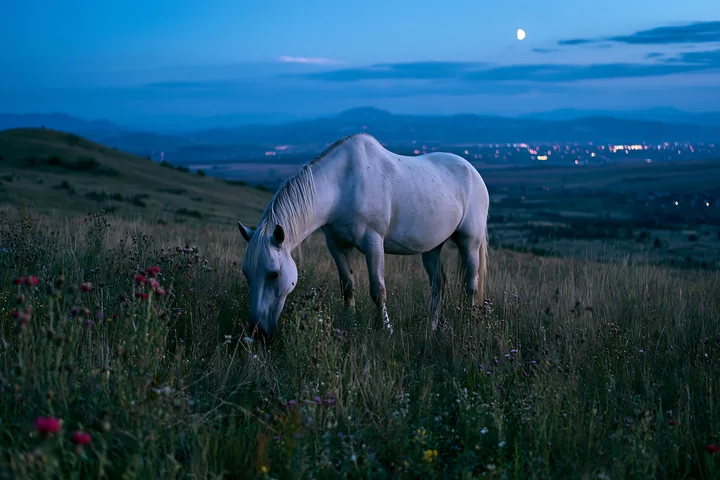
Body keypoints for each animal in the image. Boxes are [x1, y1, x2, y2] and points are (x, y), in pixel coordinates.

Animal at [238, 133, 489, 337]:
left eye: (274, 274)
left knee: (471, 284)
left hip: (469, 241)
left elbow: (378, 290)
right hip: (432, 248)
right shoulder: (336, 244)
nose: (256, 331)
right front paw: (351, 323)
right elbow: (348, 286)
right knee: (438, 284)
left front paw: (386, 329)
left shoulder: (373, 242)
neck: (342, 184)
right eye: (247, 274)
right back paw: (432, 328)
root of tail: (473, 171)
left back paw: (469, 324)